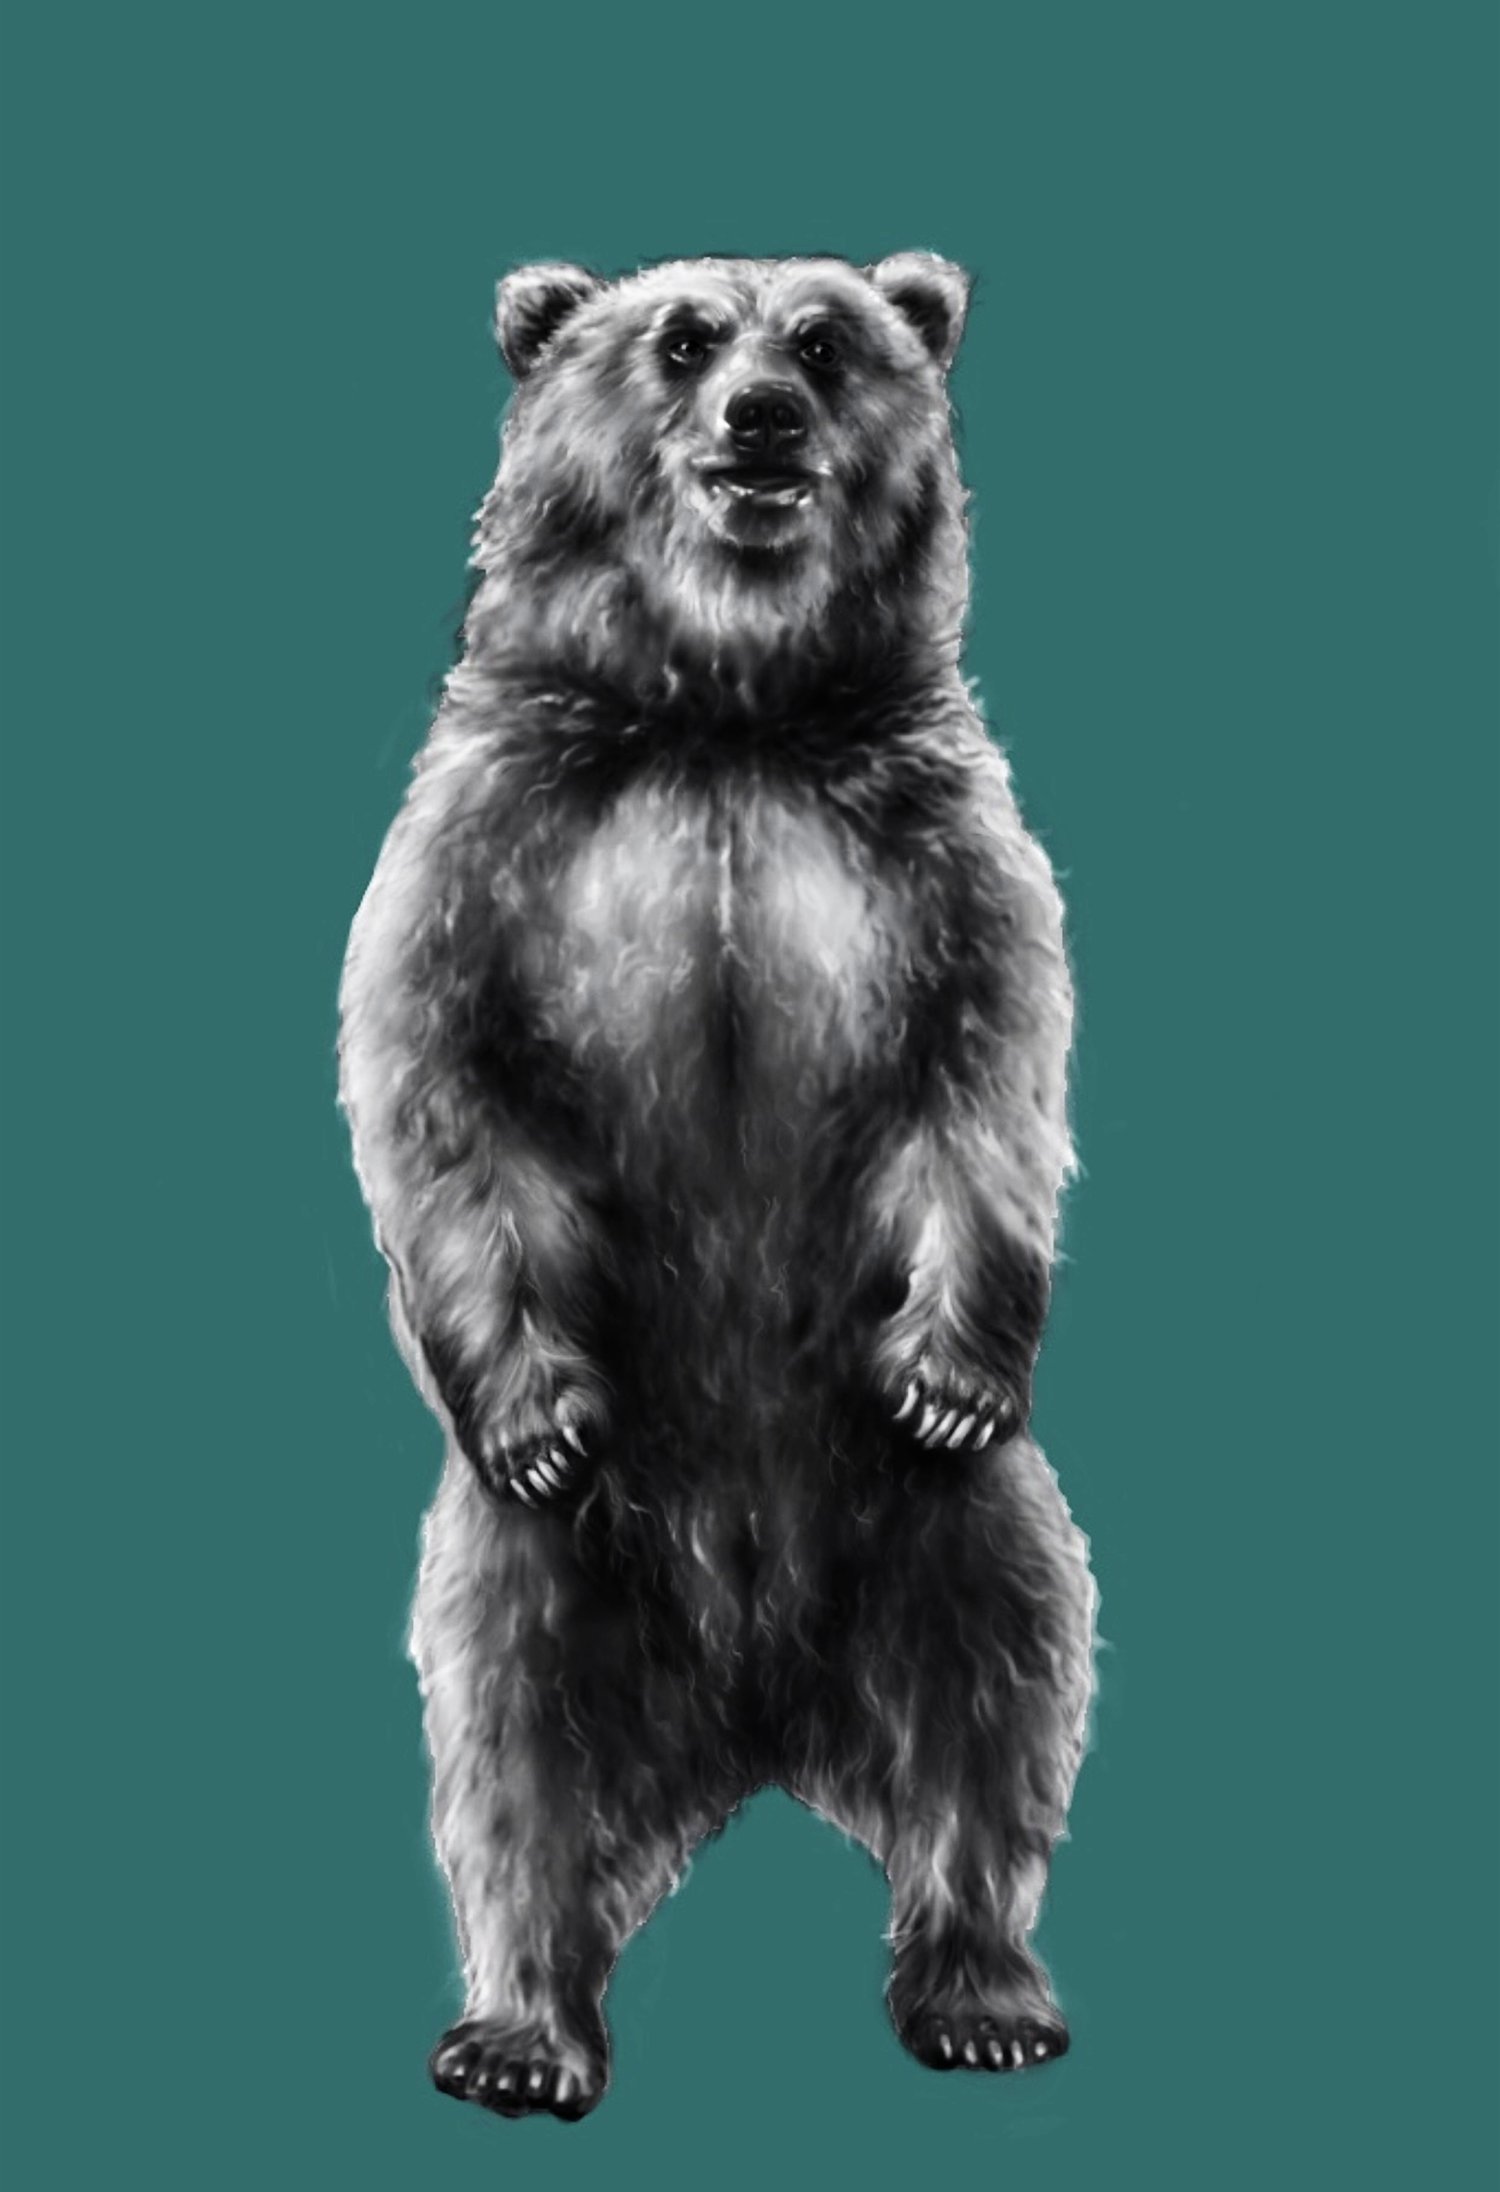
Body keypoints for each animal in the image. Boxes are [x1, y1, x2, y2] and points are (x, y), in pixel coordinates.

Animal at [339, 251, 1096, 2123]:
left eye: (826, 339)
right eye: (681, 337)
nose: (763, 416)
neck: (726, 714)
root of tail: (757, 1723)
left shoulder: (933, 845)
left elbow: (989, 1072)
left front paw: (954, 1372)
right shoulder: (495, 834)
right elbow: (438, 1077)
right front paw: (533, 1406)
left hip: (949, 1530)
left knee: (1002, 1694)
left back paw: (981, 1986)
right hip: (536, 1570)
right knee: (509, 1753)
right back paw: (520, 2031)